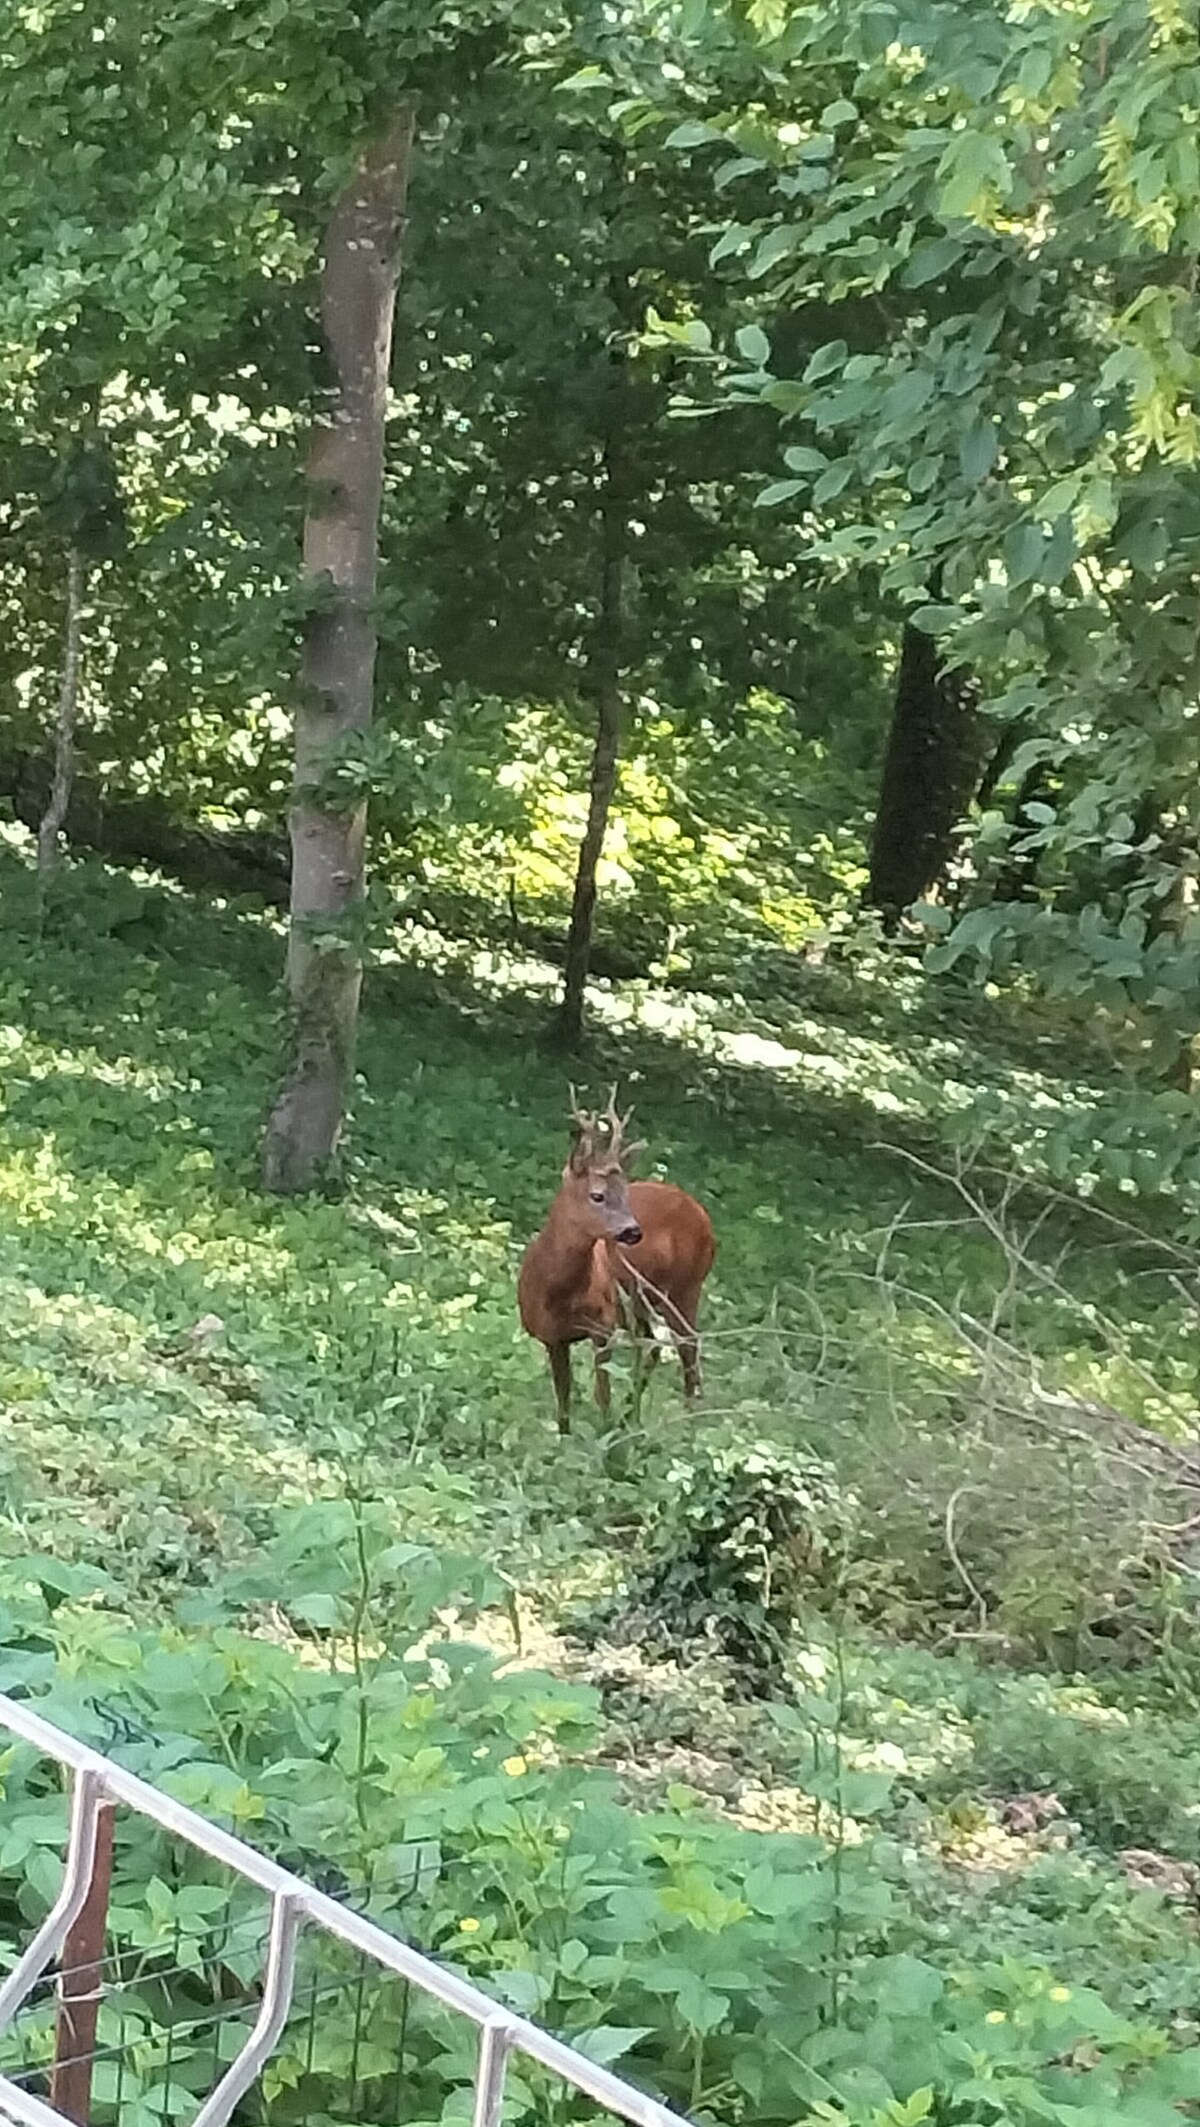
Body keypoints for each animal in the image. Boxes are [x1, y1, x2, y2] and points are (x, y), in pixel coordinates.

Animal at [514, 1097, 710, 1429]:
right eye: (597, 1195)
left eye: (625, 1192)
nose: (633, 1231)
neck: (558, 1293)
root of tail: (701, 1213)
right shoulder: (551, 1336)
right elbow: (563, 1400)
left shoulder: (602, 1325)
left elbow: (602, 1395)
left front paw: (606, 1433)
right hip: (640, 1303)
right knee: (653, 1344)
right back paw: (633, 1414)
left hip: (687, 1285)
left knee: (688, 1343)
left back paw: (687, 1419)